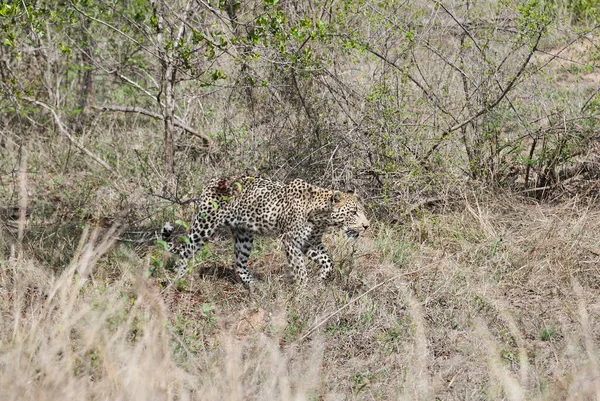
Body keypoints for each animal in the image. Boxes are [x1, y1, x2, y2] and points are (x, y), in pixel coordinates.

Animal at [162, 176, 370, 284]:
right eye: (353, 212)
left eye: (362, 211)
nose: (366, 226)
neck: (322, 217)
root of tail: (211, 182)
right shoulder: (291, 240)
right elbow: (300, 269)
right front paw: (303, 290)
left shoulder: (311, 242)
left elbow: (328, 262)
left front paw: (320, 279)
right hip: (204, 226)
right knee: (186, 251)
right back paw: (178, 278)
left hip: (244, 236)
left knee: (240, 263)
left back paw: (255, 286)